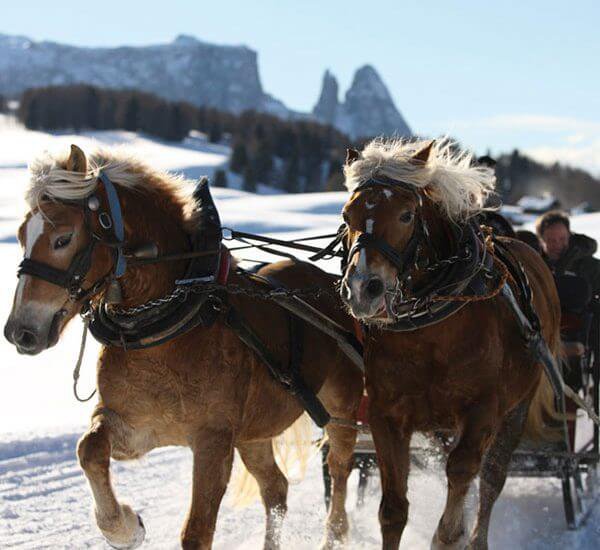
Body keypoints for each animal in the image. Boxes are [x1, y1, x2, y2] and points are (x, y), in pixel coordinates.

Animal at [4, 147, 364, 550]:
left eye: (63, 239)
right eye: (21, 234)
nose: (20, 331)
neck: (167, 325)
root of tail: (330, 287)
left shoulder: (213, 441)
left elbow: (196, 532)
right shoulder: (135, 426)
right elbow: (89, 449)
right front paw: (122, 526)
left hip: (341, 409)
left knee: (339, 468)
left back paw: (335, 532)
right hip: (254, 433)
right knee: (276, 490)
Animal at [336, 140, 560, 548]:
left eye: (407, 215)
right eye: (348, 214)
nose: (363, 289)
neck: (432, 333)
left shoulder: (483, 410)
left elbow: (462, 474)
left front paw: (451, 532)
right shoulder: (386, 414)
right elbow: (393, 508)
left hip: (516, 410)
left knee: (490, 479)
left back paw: (477, 535)